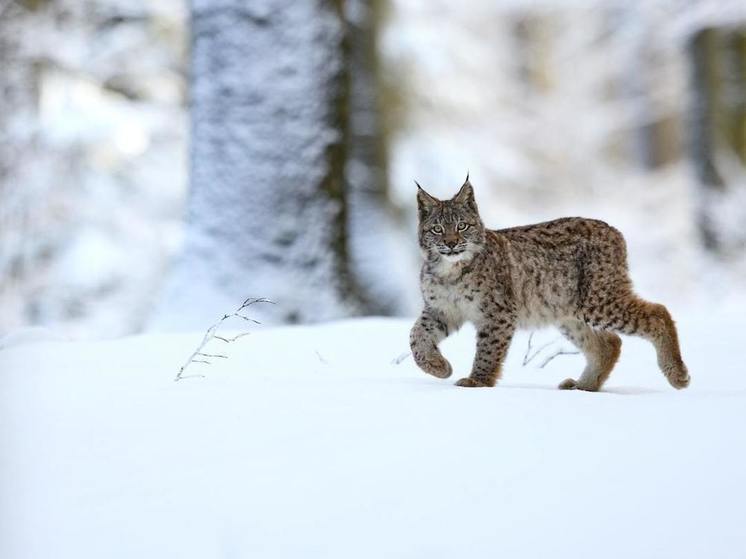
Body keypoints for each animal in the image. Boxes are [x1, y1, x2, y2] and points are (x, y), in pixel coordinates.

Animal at [410, 177, 688, 392]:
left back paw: (677, 374)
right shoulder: (441, 309)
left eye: (462, 226)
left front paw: (478, 381)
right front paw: (438, 367)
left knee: (658, 312)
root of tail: (611, 228)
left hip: (597, 300)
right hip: (568, 310)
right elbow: (416, 337)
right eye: (437, 229)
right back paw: (584, 387)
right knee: (609, 344)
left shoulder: (498, 313)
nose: (451, 243)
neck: (449, 269)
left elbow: (488, 349)